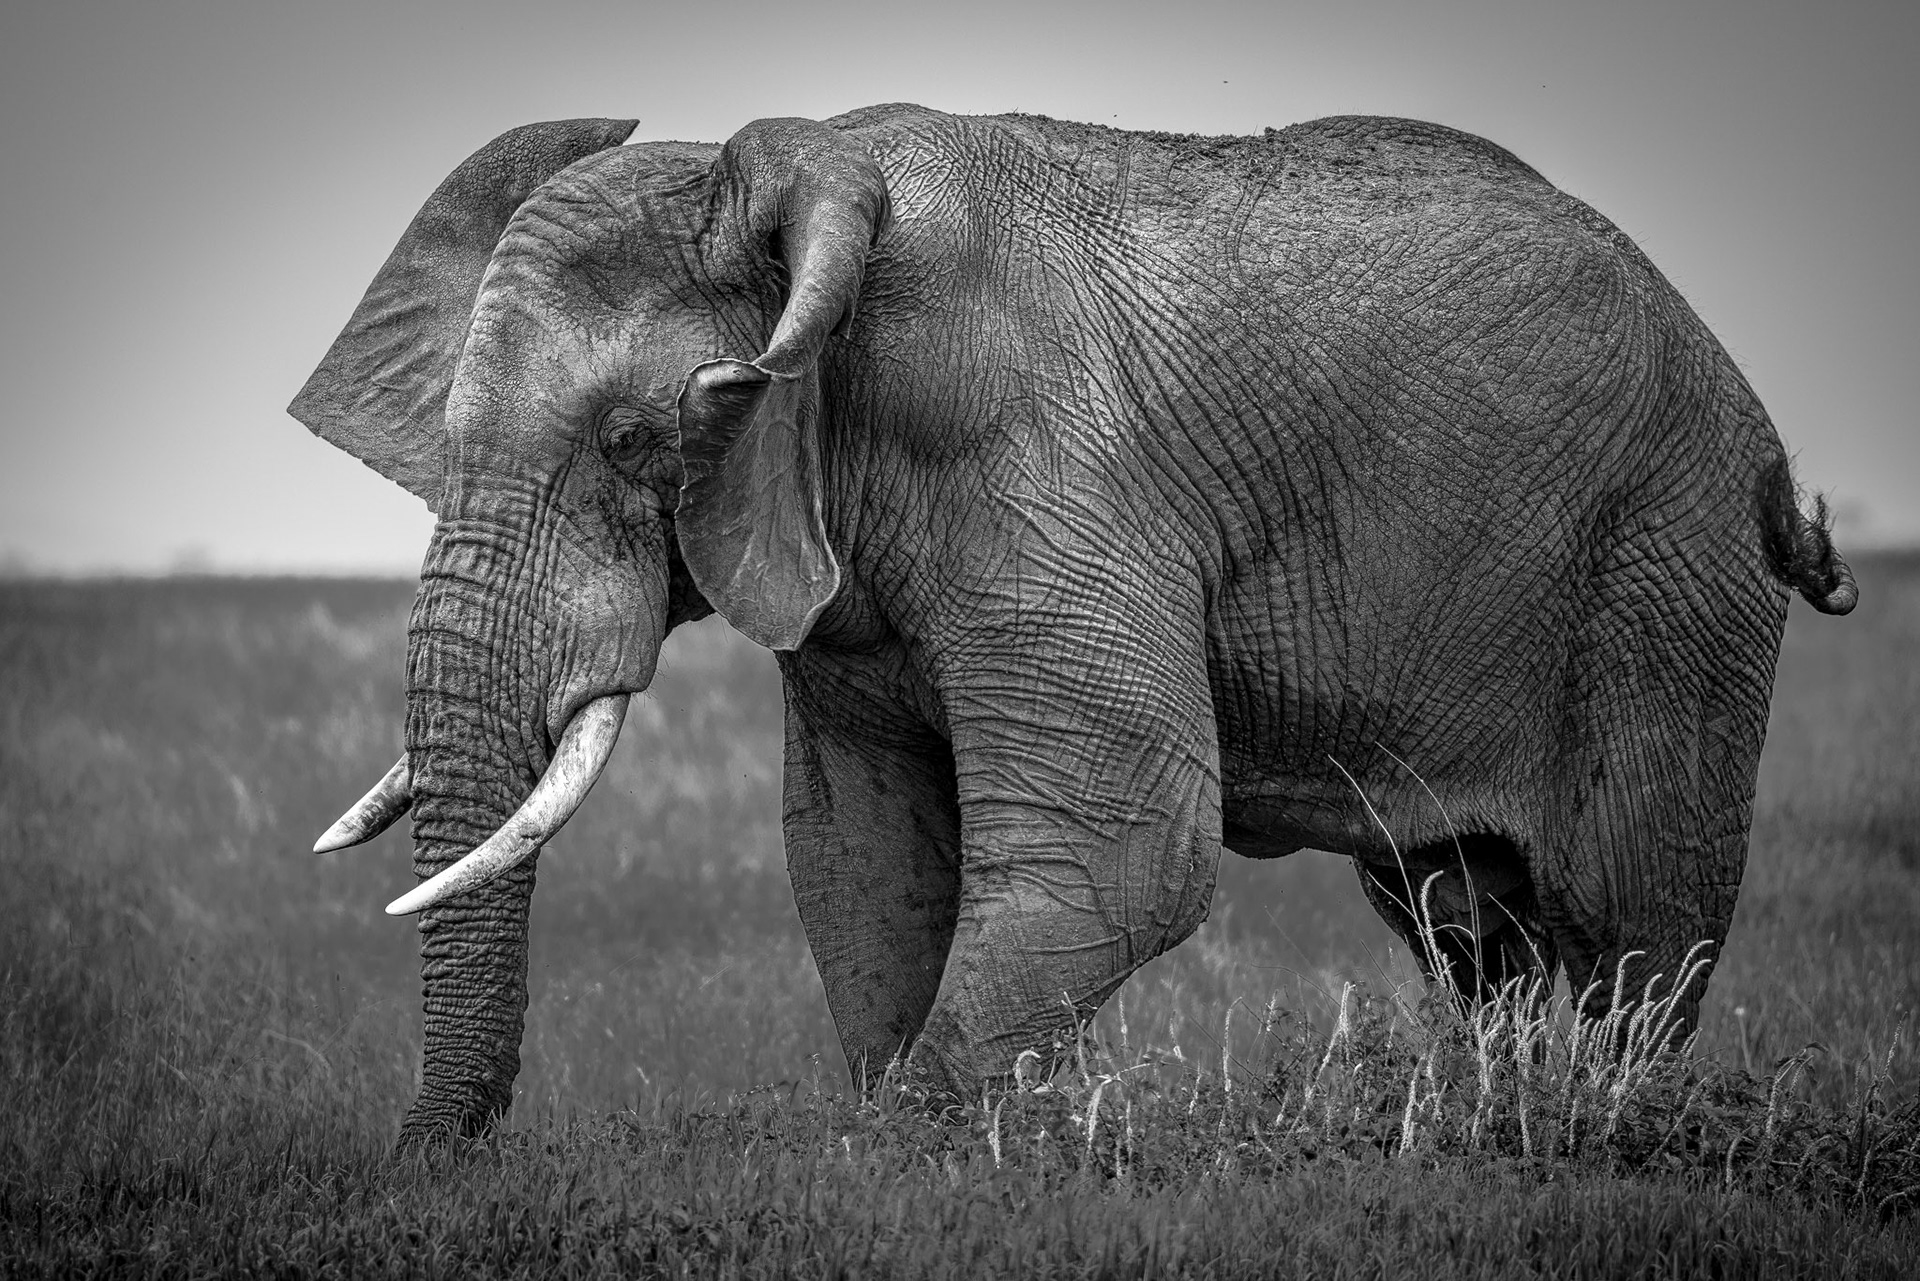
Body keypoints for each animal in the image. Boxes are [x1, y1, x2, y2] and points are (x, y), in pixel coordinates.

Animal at [290, 104, 1856, 1144]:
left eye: (631, 440)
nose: (425, 1156)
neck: (808, 179)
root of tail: (1766, 438)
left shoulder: (1045, 467)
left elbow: (1125, 846)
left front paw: (888, 1154)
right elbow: (863, 857)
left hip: (1665, 570)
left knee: (1628, 916)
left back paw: (1602, 1120)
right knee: (1467, 917)